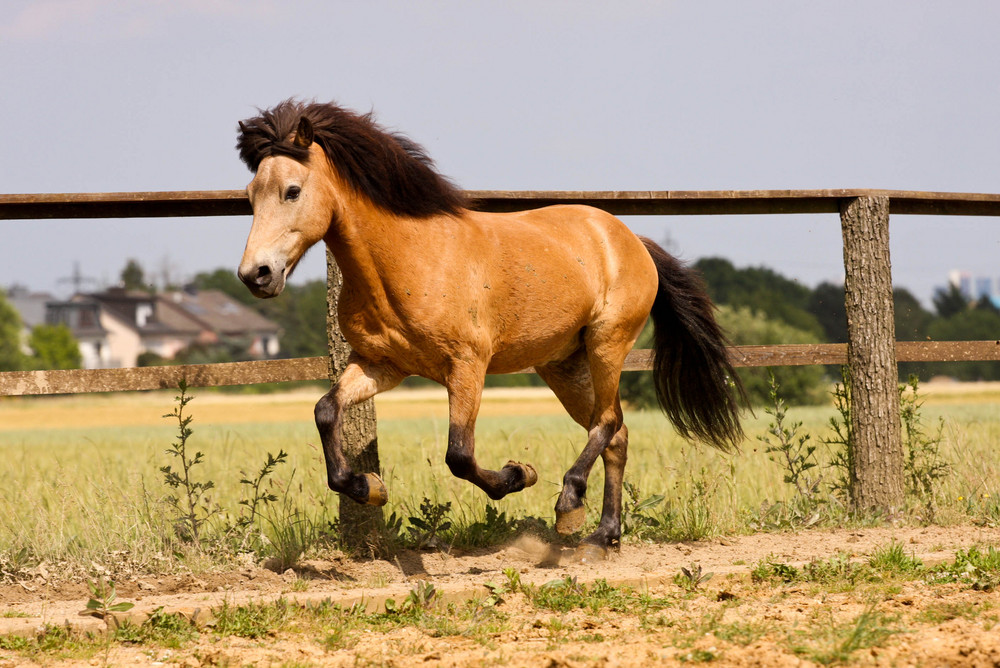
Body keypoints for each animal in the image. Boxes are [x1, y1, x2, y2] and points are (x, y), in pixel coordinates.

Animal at [238, 99, 748, 548]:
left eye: (292, 191)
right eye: (250, 196)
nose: (255, 275)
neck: (409, 259)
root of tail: (631, 239)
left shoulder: (467, 366)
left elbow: (459, 456)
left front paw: (519, 475)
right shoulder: (382, 365)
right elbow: (326, 410)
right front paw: (370, 487)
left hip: (608, 343)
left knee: (606, 422)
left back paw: (569, 505)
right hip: (564, 365)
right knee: (616, 434)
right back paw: (604, 534)